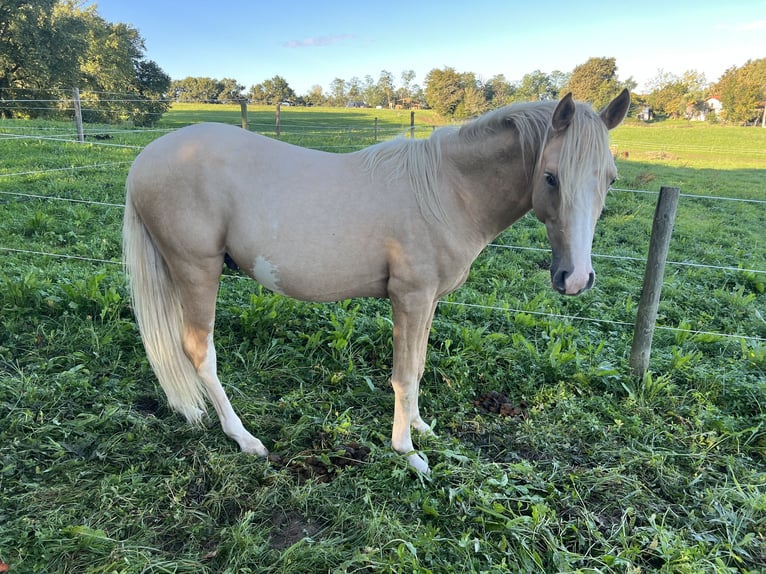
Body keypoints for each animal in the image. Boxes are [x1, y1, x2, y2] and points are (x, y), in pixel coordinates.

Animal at [124, 91, 632, 476]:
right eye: (550, 177)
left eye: (609, 179)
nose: (576, 279)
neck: (448, 190)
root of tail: (145, 159)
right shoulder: (410, 297)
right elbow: (403, 375)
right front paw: (407, 452)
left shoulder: (428, 302)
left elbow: (419, 367)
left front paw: (421, 427)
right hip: (197, 270)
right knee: (199, 351)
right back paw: (246, 439)